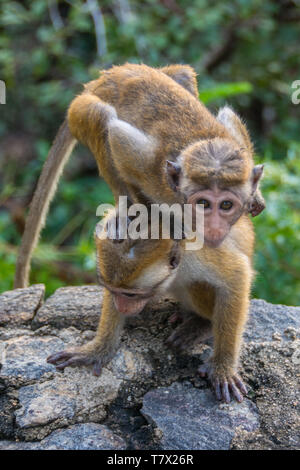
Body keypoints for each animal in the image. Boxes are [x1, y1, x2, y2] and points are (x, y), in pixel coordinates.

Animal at [14, 64, 264, 288]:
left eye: (226, 205)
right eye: (203, 203)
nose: (215, 227)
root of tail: (98, 81)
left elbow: (229, 117)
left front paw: (256, 194)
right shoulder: (151, 168)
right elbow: (116, 136)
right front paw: (150, 213)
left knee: (183, 75)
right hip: (79, 111)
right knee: (102, 117)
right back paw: (125, 208)